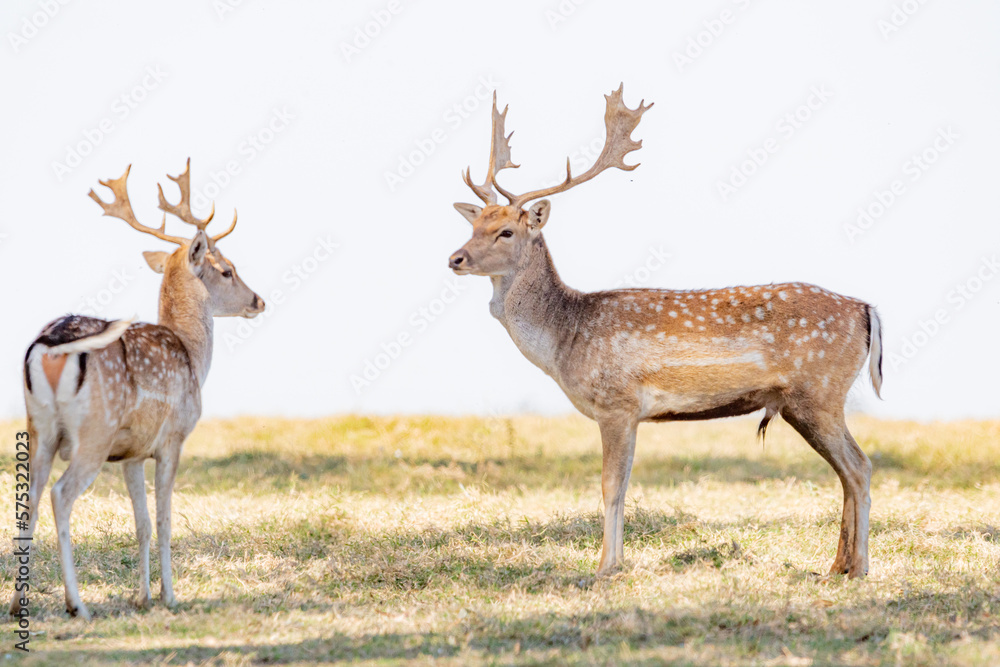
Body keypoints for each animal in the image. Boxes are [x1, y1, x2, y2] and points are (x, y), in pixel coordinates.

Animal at [9, 159, 264, 620]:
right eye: (227, 269)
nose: (259, 300)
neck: (193, 356)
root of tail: (49, 346)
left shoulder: (131, 453)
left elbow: (141, 522)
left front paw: (141, 596)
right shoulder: (173, 438)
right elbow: (164, 519)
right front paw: (169, 596)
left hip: (39, 427)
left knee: (29, 497)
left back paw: (17, 604)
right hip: (94, 431)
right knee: (60, 494)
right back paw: (77, 604)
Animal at [448, 86, 883, 580]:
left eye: (505, 231)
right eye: (473, 224)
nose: (455, 258)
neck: (566, 339)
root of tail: (866, 310)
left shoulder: (617, 403)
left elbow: (611, 485)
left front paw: (605, 568)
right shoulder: (629, 411)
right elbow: (622, 485)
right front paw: (614, 563)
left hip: (820, 390)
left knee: (859, 467)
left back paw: (860, 569)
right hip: (802, 402)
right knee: (846, 471)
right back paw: (837, 565)